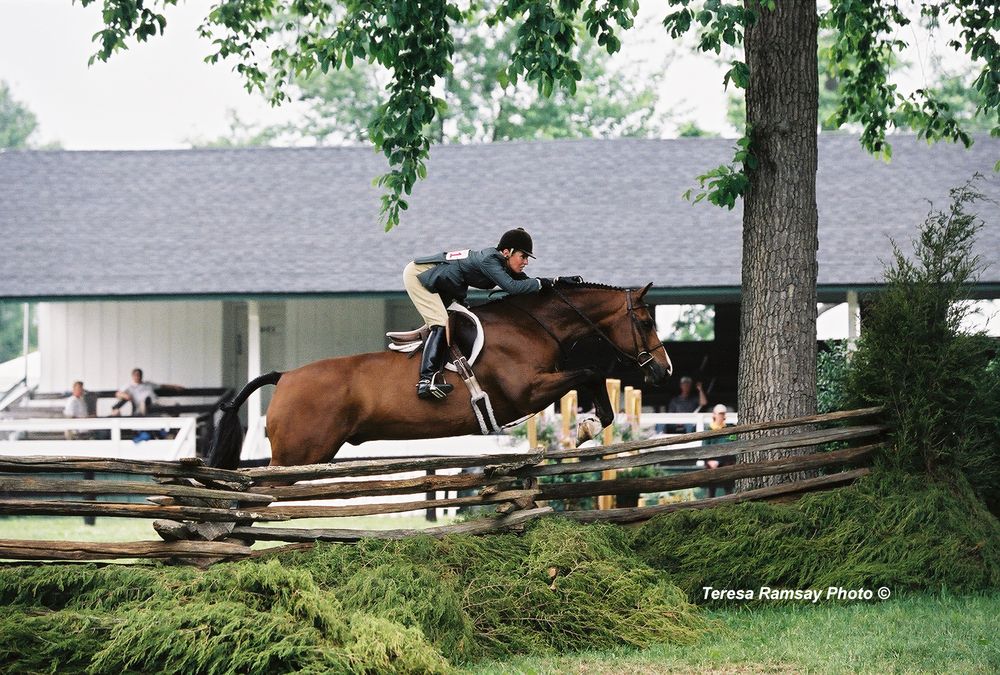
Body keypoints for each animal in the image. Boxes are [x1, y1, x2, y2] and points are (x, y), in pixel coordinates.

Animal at [207, 282, 673, 468]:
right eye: (646, 321)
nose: (664, 369)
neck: (533, 323)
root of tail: (285, 376)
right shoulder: (527, 391)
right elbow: (590, 371)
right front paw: (586, 427)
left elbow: (592, 377)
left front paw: (590, 425)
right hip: (296, 455)